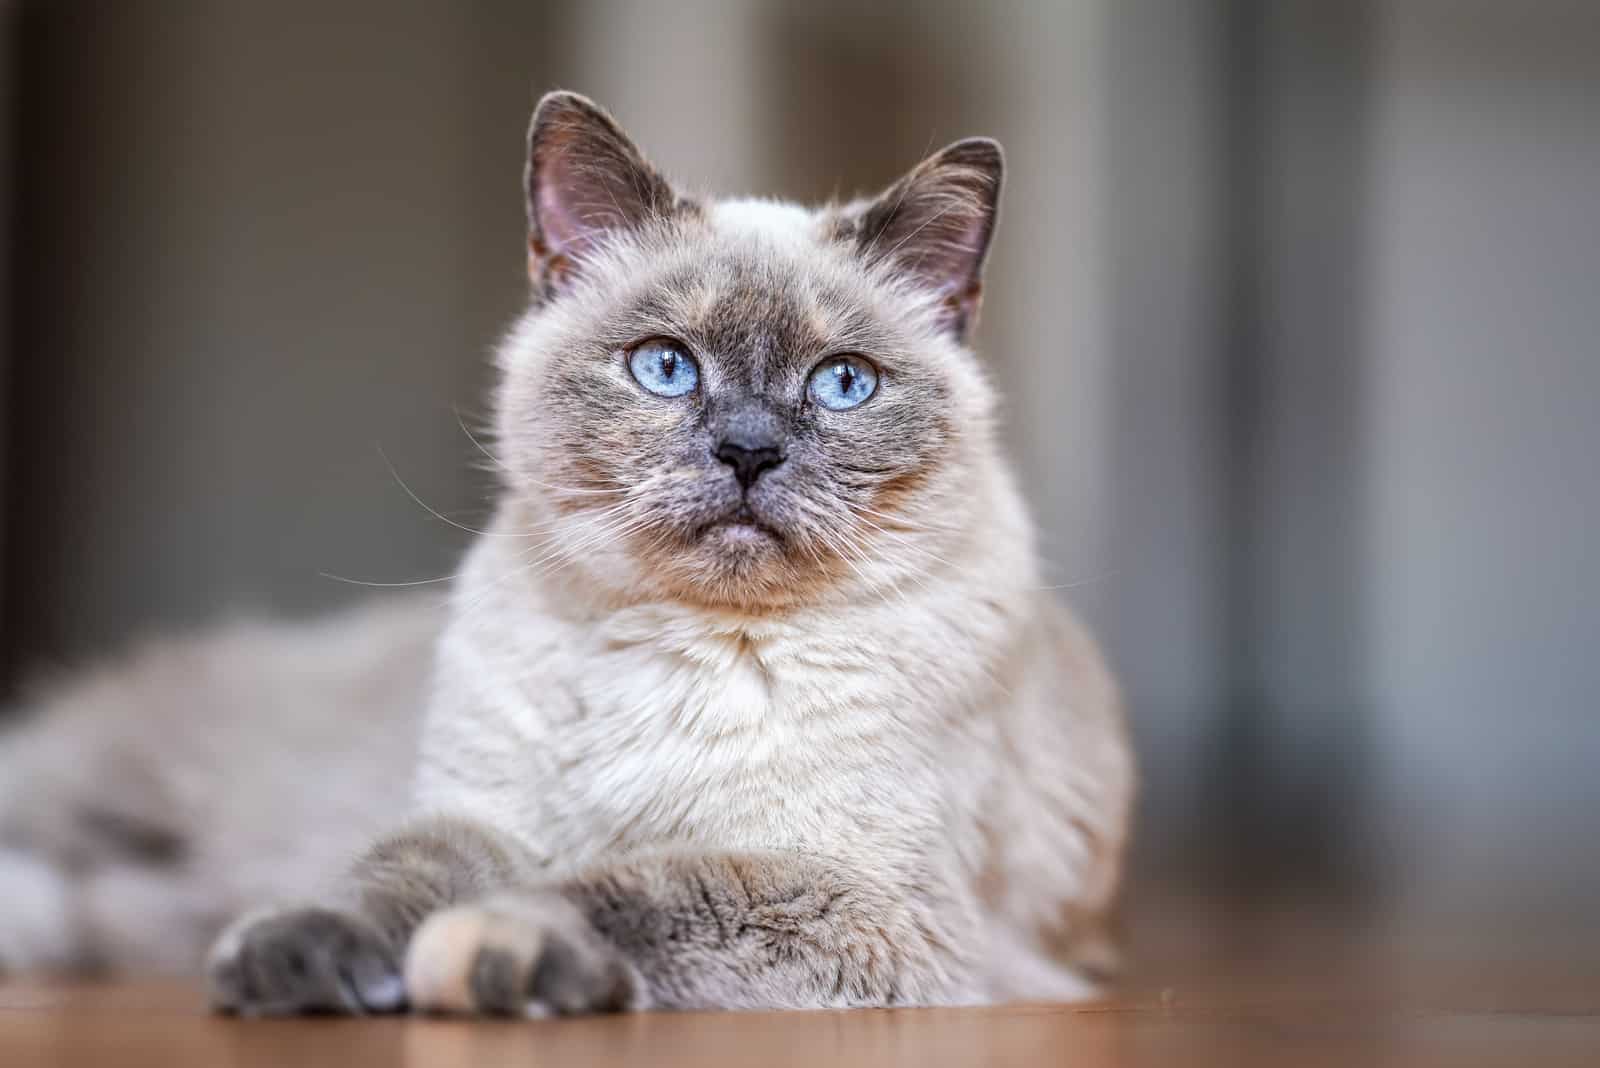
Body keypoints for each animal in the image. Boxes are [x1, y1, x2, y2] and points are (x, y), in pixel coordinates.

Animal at [3, 93, 1139, 1016]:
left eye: (843, 383)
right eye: (666, 368)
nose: (748, 450)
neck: (677, 648)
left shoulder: (847, 897)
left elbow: (614, 892)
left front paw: (488, 954)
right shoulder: (481, 817)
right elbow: (393, 881)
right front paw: (312, 959)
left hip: (143, 891)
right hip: (106, 784)